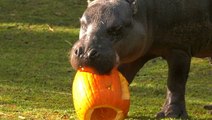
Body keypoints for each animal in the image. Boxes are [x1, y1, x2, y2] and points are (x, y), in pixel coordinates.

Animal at [70, 0, 212, 118]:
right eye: (82, 22)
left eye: (117, 28)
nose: (84, 53)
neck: (143, 13)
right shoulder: (136, 53)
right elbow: (124, 76)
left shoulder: (179, 49)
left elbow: (175, 82)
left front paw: (170, 114)